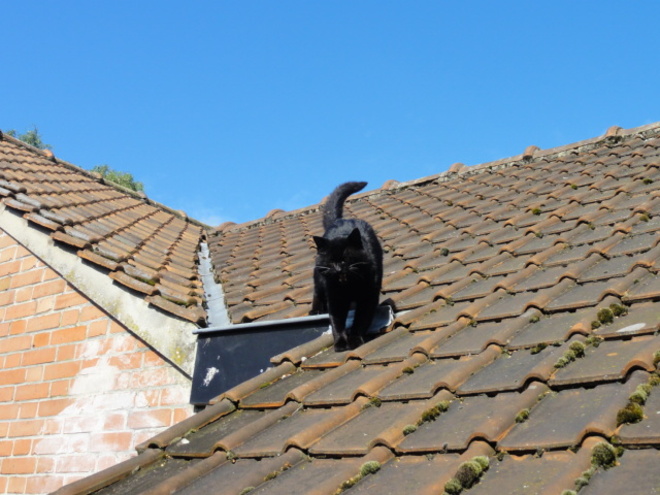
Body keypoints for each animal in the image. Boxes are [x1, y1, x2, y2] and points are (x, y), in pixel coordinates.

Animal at [312, 182, 384, 352]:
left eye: (346, 259)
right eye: (331, 262)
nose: (338, 268)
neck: (349, 286)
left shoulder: (368, 296)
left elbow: (361, 319)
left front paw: (355, 339)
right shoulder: (335, 298)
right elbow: (336, 322)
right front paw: (340, 342)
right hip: (319, 278)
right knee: (317, 292)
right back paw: (315, 310)